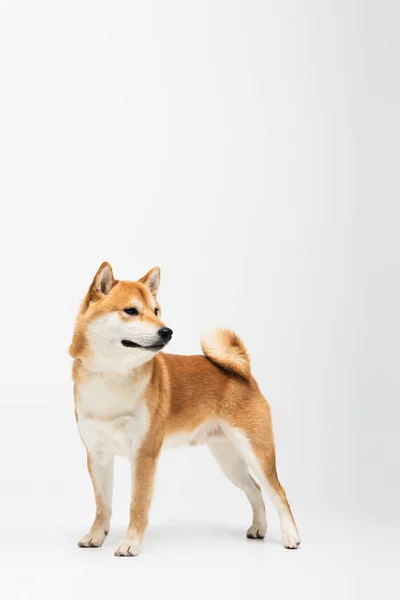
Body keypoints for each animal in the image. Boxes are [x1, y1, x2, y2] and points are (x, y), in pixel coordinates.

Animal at [70, 262, 300, 556]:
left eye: (156, 310)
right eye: (131, 311)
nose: (166, 331)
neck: (111, 377)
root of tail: (245, 372)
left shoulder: (143, 456)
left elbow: (137, 505)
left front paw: (131, 543)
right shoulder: (97, 456)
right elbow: (102, 506)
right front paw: (96, 536)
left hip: (256, 451)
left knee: (278, 492)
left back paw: (291, 536)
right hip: (229, 461)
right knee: (256, 490)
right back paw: (258, 528)